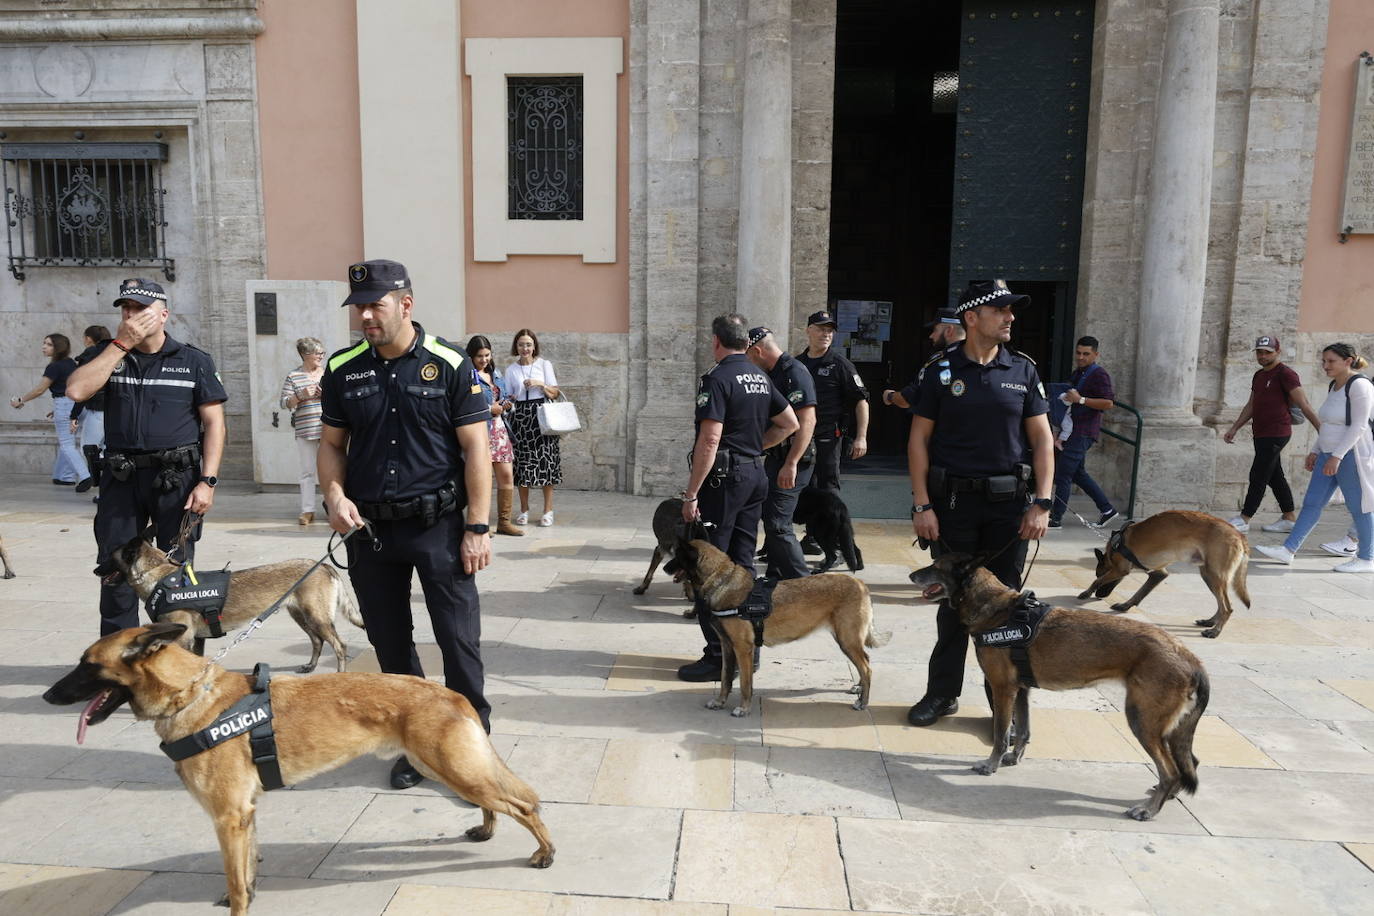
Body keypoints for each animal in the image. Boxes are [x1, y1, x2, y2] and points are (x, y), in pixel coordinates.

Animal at [45, 623, 555, 916]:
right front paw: (248, 891)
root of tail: (450, 692)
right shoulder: (244, 815)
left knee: (524, 806)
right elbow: (248, 868)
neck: (189, 695)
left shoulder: (228, 817)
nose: (48, 696)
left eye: (87, 665)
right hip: (448, 769)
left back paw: (545, 853)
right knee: (498, 803)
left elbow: (236, 880)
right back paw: (486, 829)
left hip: (452, 769)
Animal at [105, 527, 365, 670]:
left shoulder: (185, 639)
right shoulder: (197, 639)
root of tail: (323, 566)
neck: (160, 575)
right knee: (317, 641)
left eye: (108, 558)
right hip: (302, 615)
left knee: (339, 646)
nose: (97, 568)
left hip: (316, 617)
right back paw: (311, 666)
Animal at [665, 541, 890, 719]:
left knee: (866, 668)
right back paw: (859, 687)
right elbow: (725, 679)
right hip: (847, 640)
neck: (721, 580)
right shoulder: (727, 647)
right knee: (865, 661)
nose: (665, 567)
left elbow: (745, 684)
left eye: (678, 556)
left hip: (847, 640)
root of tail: (860, 583)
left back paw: (863, 702)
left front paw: (744, 708)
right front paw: (720, 702)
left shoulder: (743, 649)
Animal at [912, 554, 1214, 818]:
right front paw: (1014, 757)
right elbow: (1023, 730)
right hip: (1170, 730)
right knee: (1188, 764)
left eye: (936, 565)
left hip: (1142, 720)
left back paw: (1149, 809)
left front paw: (991, 764)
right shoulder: (1021, 690)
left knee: (1171, 771)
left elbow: (1000, 733)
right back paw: (1166, 796)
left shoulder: (1002, 689)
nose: (911, 575)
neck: (997, 609)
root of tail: (1188, 656)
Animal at [1077, 513, 1253, 642]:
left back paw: (1215, 631)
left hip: (1214, 576)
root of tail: (1238, 534)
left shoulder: (1119, 570)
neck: (1115, 546)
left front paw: (1086, 593)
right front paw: (1125, 606)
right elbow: (1140, 593)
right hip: (1208, 575)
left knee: (1227, 608)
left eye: (1099, 572)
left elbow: (1098, 581)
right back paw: (1210, 622)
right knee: (1221, 604)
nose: (1099, 596)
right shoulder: (1158, 574)